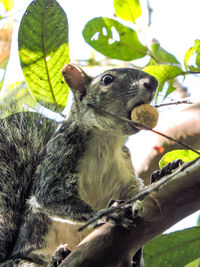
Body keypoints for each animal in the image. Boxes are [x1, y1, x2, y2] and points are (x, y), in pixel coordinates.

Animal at [0, 63, 158, 266]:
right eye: (107, 79)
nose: (152, 82)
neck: (107, 141)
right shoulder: (60, 152)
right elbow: (48, 196)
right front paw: (104, 214)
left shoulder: (125, 167)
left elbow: (135, 192)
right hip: (24, 260)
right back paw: (56, 258)